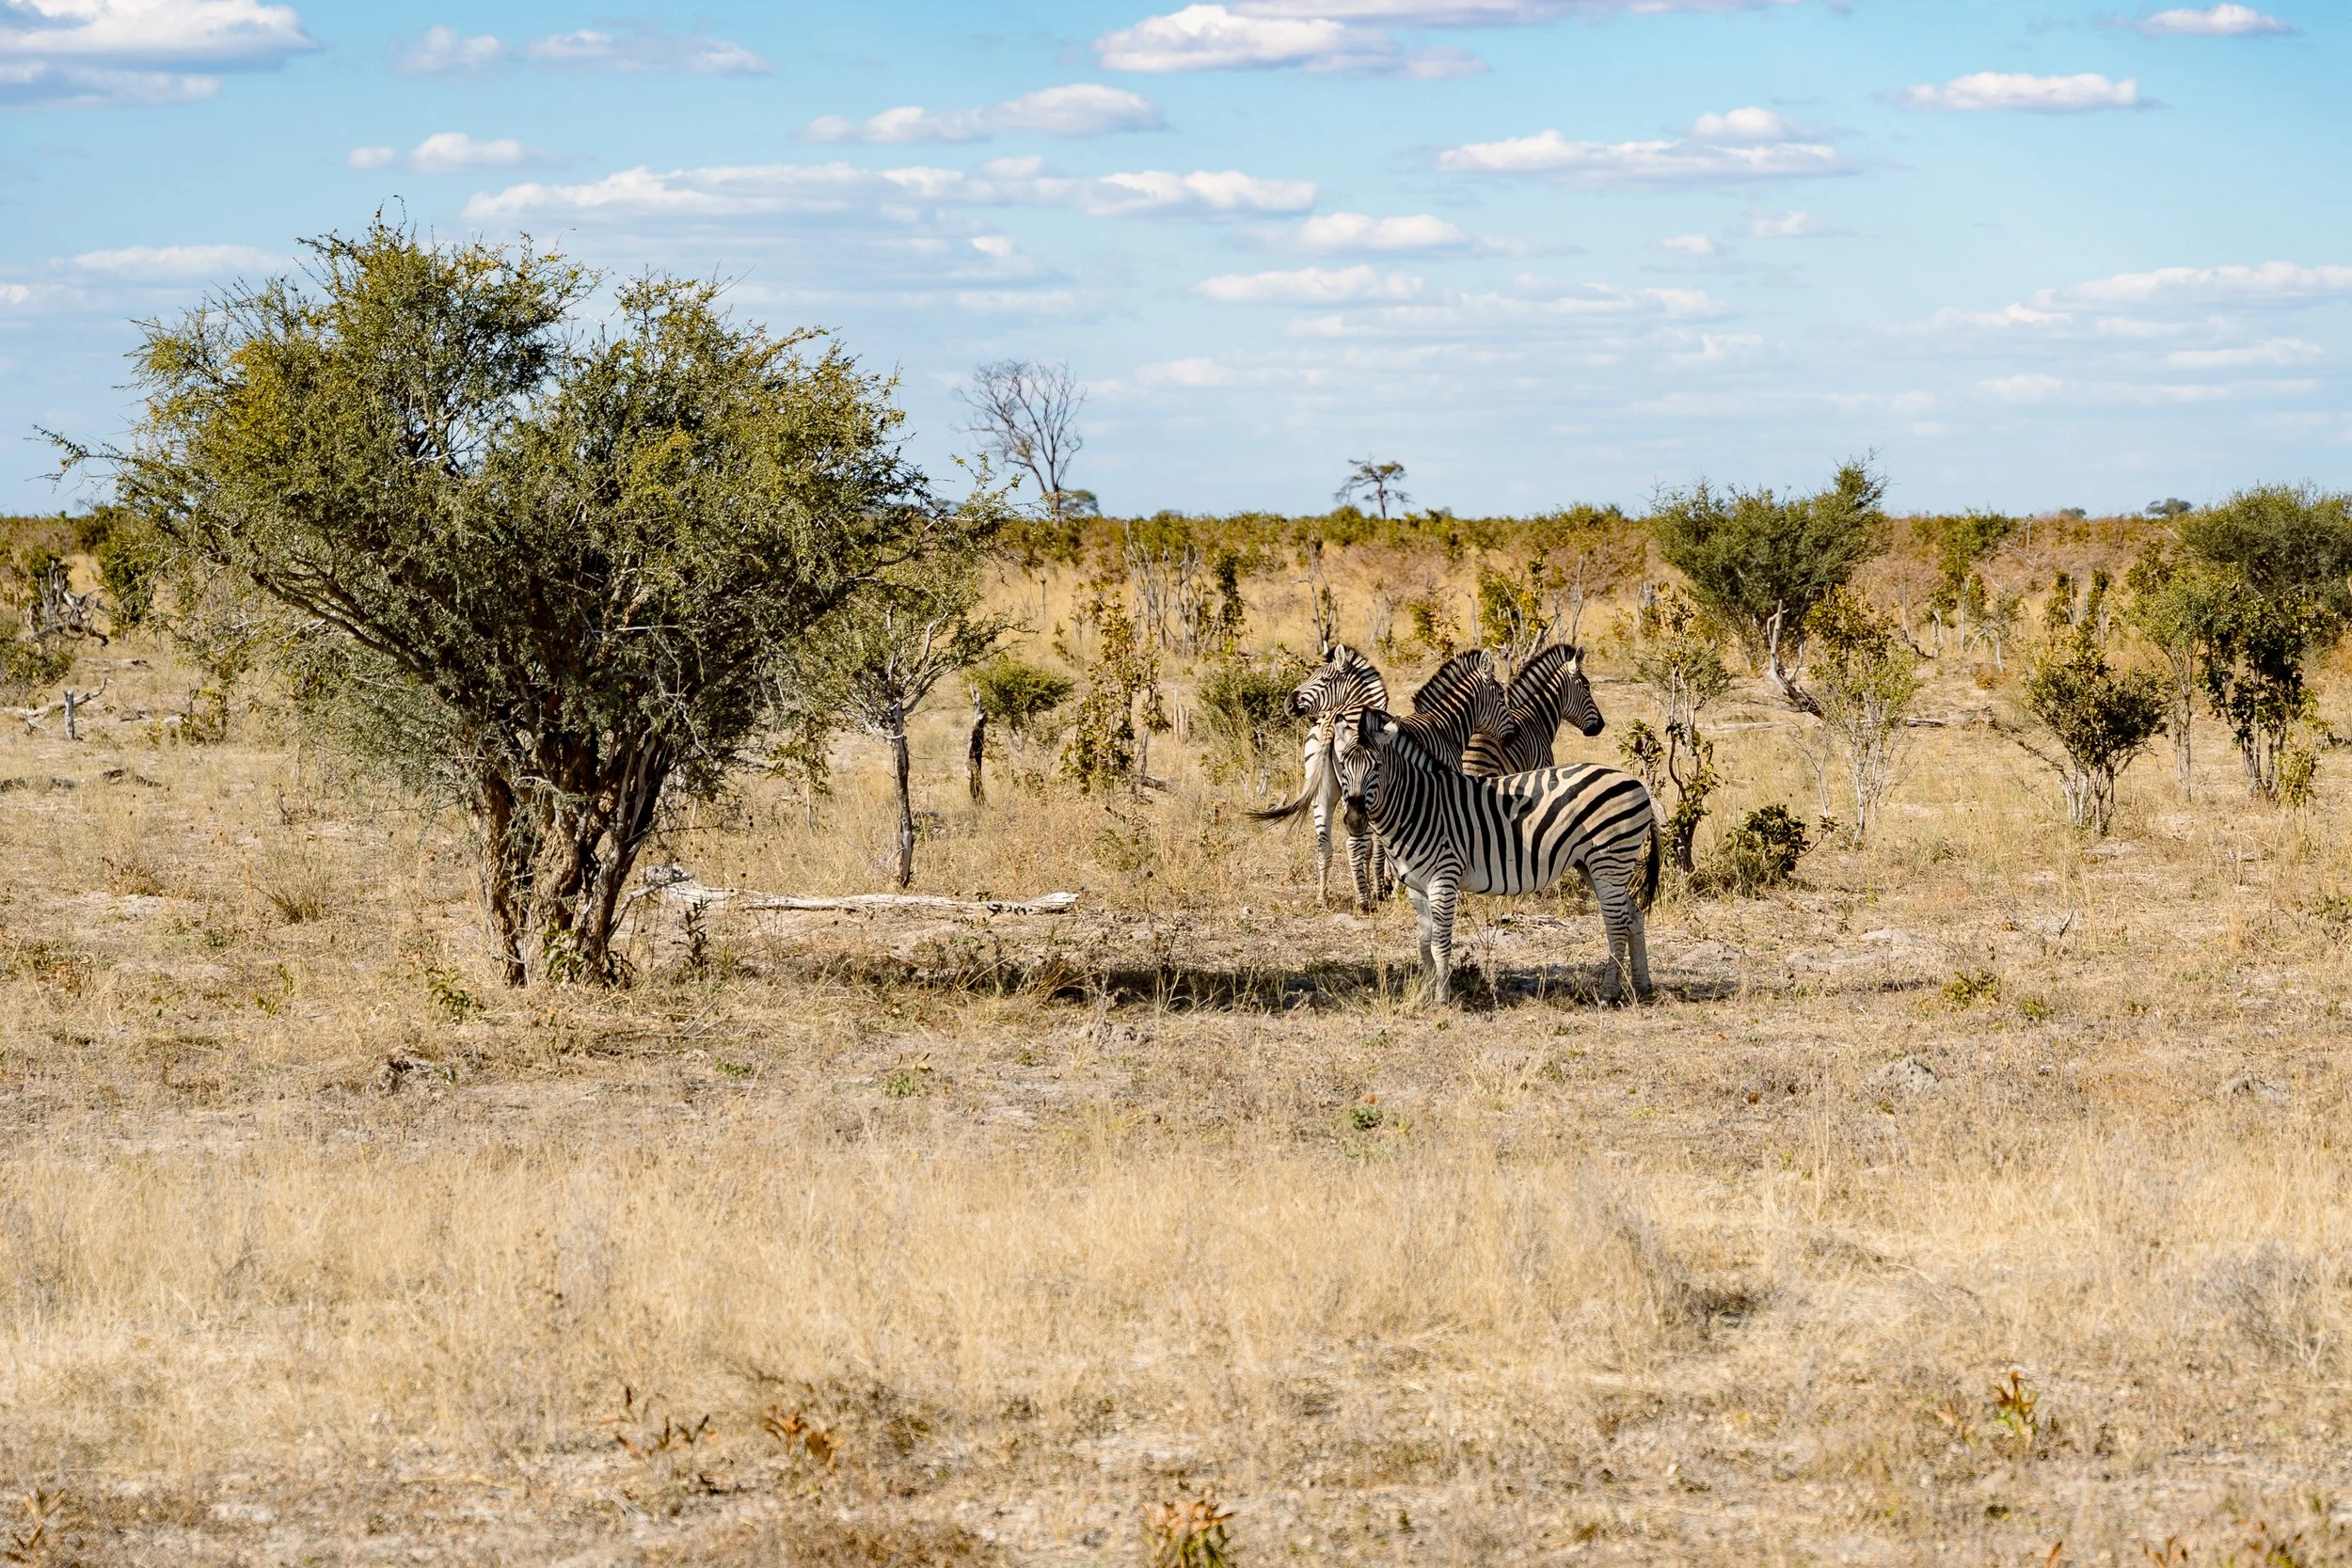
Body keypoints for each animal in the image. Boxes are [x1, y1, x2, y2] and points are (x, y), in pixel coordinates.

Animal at [1337, 707, 1661, 1004]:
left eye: (1377, 767)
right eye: (1342, 767)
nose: (1354, 820)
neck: (1419, 806)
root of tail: (1636, 783)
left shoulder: (1444, 878)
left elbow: (1440, 944)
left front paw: (1441, 999)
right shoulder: (1417, 887)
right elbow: (1424, 944)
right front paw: (1426, 994)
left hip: (1608, 860)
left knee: (1616, 923)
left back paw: (1607, 993)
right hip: (1593, 866)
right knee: (1633, 916)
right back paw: (1641, 986)